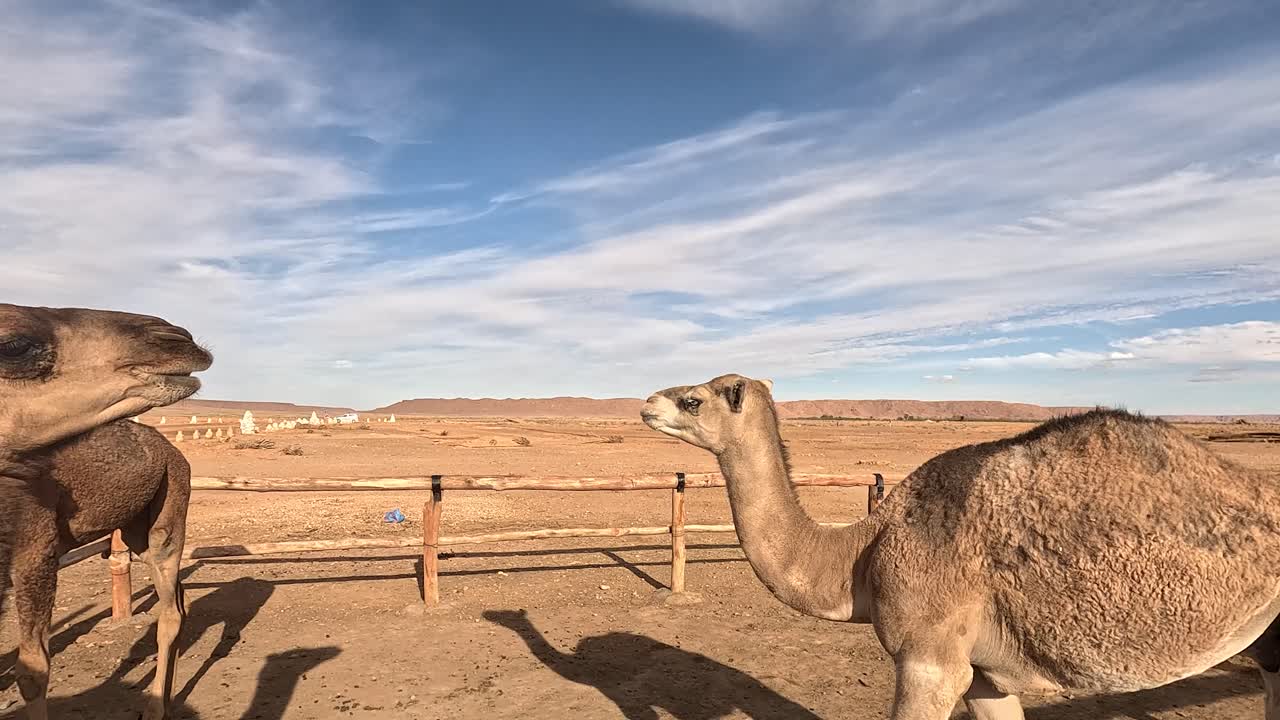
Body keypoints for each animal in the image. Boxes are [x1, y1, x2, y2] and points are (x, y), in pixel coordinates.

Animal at [12, 420, 192, 720]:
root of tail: (176, 452)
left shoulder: (35, 554)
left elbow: (31, 671)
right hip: (136, 528)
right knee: (179, 596)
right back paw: (168, 702)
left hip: (170, 499)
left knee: (171, 610)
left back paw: (154, 709)